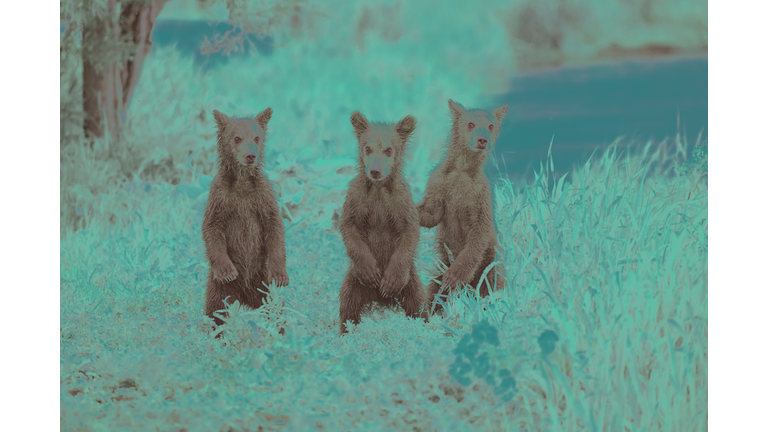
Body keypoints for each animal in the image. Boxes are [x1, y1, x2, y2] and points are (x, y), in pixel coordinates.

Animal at [202, 108, 289, 337]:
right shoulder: (221, 198)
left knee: (274, 307)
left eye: (257, 137)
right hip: (218, 287)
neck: (241, 182)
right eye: (237, 138)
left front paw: (281, 275)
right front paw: (227, 272)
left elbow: (274, 227)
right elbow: (211, 228)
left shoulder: (262, 197)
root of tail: (244, 295)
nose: (251, 155)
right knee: (216, 310)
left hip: (262, 280)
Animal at [338, 111, 430, 334]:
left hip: (411, 282)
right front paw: (371, 273)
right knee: (348, 305)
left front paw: (389, 283)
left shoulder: (400, 201)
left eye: (389, 149)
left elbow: (410, 232)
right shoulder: (357, 198)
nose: (375, 171)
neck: (378, 188)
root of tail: (378, 300)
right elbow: (349, 227)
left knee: (419, 305)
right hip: (353, 281)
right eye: (367, 147)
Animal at [417, 99, 510, 315]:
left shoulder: (479, 194)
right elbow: (432, 212)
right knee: (435, 288)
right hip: (441, 262)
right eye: (471, 123)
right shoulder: (439, 184)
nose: (482, 140)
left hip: (490, 262)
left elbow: (479, 231)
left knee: (493, 284)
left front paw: (455, 276)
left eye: (490, 126)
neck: (462, 168)